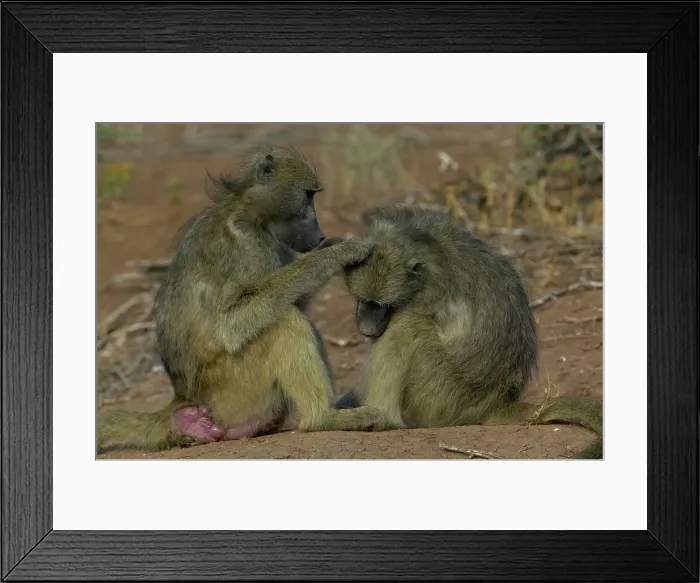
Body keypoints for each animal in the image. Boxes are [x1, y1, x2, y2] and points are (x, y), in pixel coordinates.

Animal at [97, 146, 385, 453]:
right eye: (308, 195)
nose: (320, 235)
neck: (250, 211)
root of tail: (183, 400)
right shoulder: (246, 242)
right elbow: (230, 325)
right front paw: (338, 252)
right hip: (231, 392)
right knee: (284, 321)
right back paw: (324, 418)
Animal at [332, 204, 603, 460]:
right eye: (364, 300)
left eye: (383, 305)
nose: (366, 328)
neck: (426, 246)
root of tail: (495, 404)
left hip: (442, 395)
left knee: (407, 326)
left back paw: (383, 418)